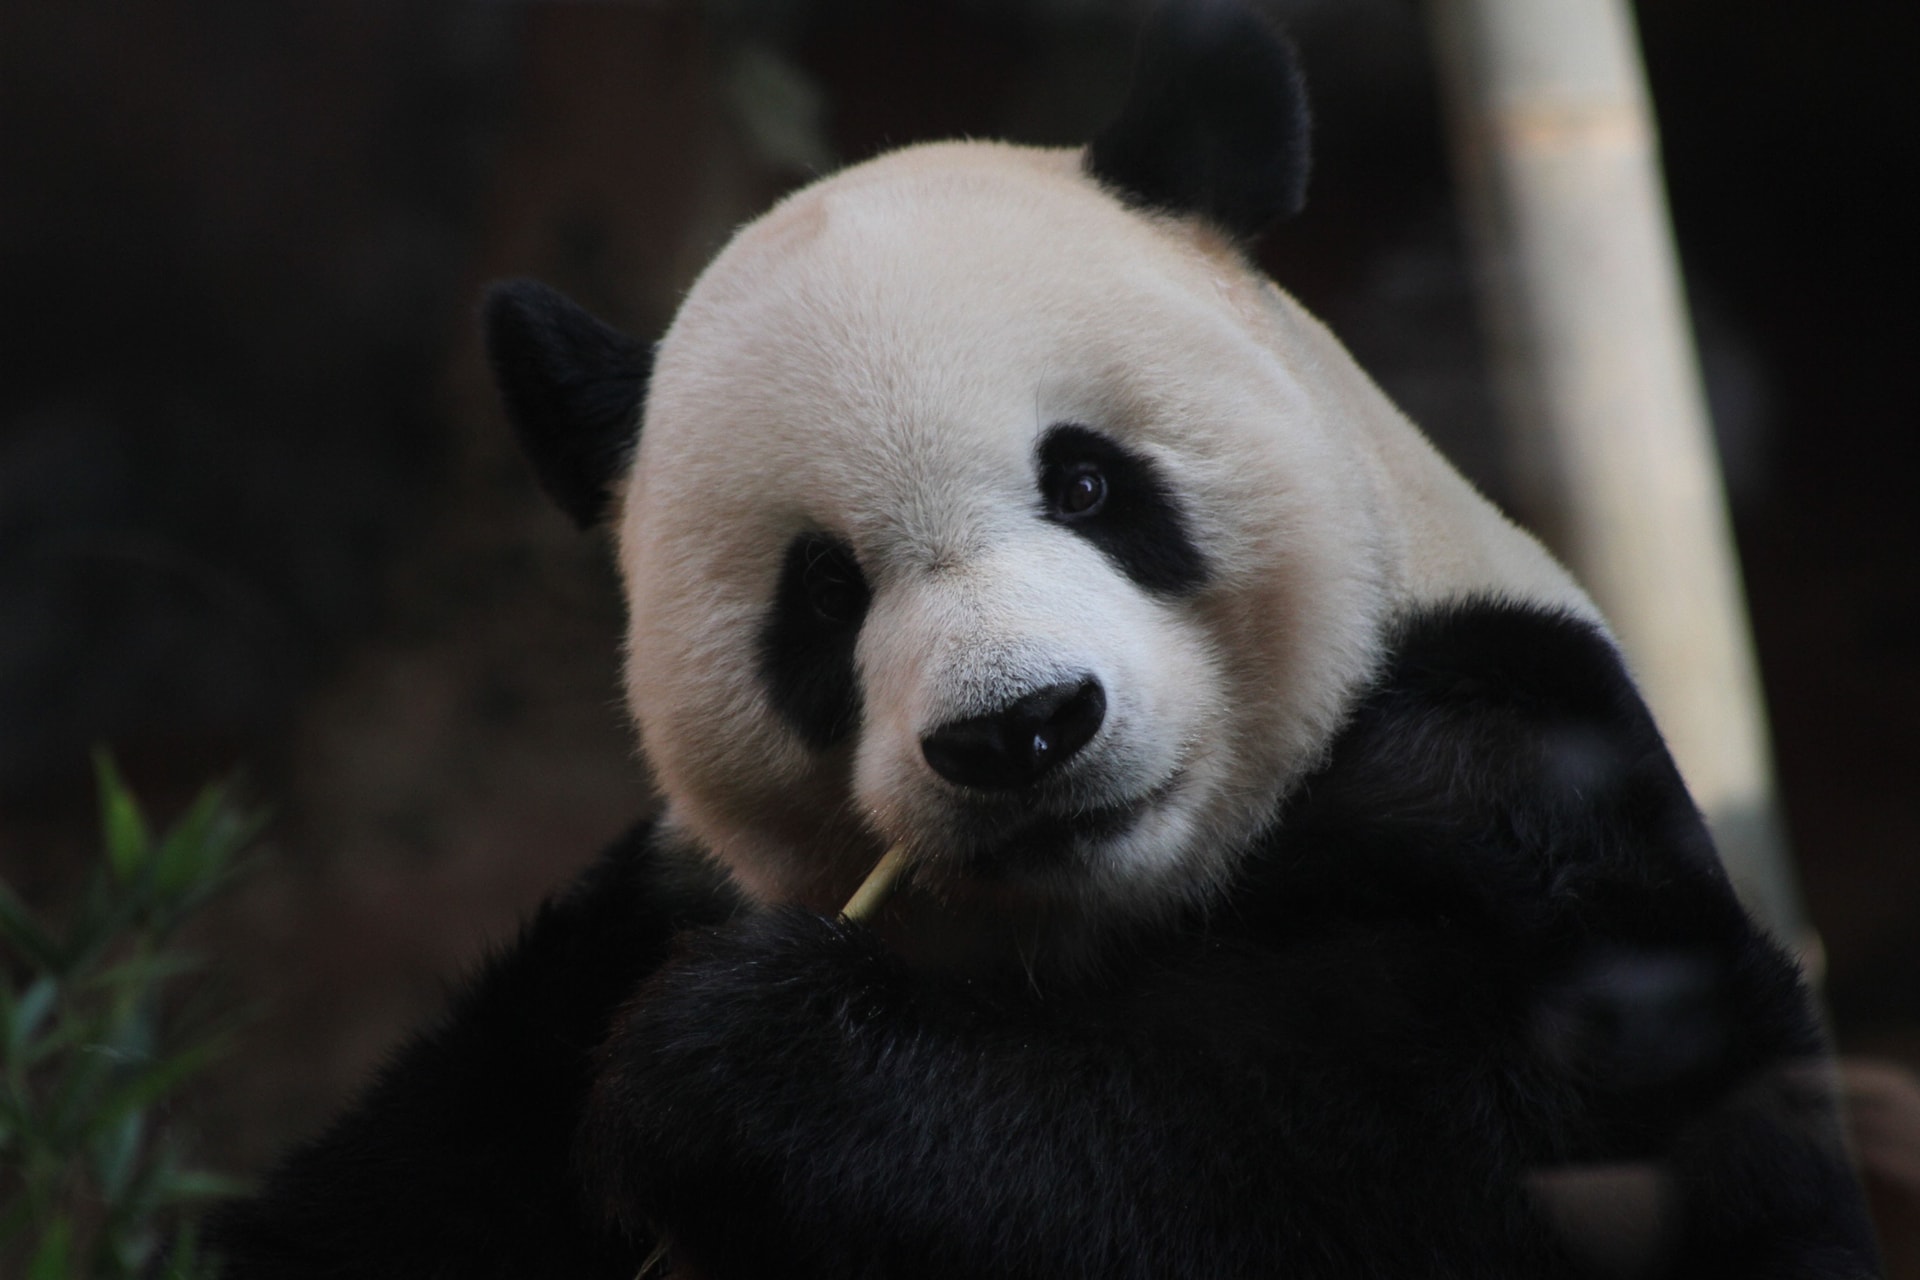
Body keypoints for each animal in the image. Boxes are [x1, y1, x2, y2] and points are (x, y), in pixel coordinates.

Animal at [205, 4, 1879, 1278]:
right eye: (825, 592)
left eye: (1084, 480)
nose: (1018, 730)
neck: (1102, 924)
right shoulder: (605, 951)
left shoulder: (1517, 770)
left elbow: (1475, 1141)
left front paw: (746, 1073)